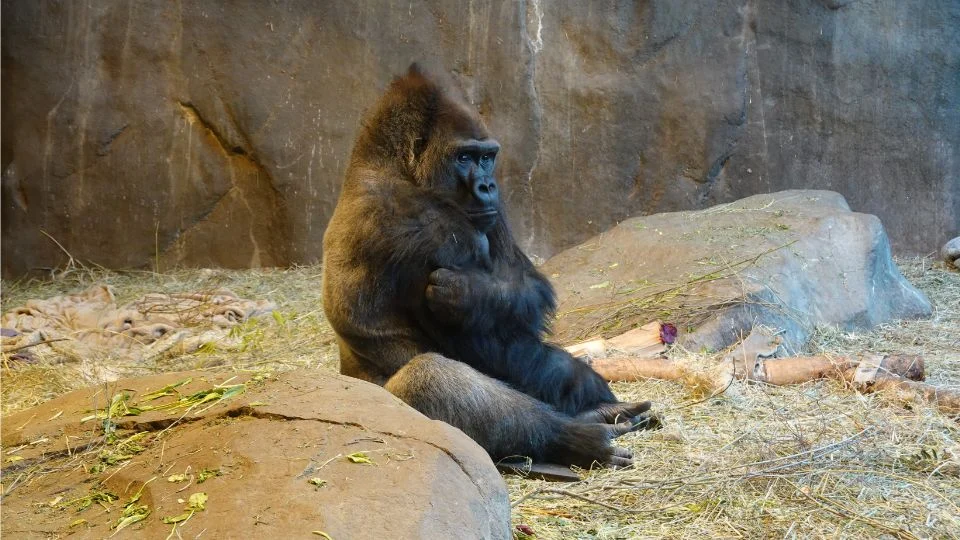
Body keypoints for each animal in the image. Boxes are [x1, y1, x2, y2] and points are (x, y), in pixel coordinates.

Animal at [321, 64, 653, 468]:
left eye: (487, 157)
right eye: (464, 158)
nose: (487, 186)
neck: (384, 166)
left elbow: (523, 282)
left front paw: (466, 294)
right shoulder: (427, 229)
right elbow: (495, 349)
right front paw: (582, 383)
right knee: (425, 377)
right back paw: (572, 435)